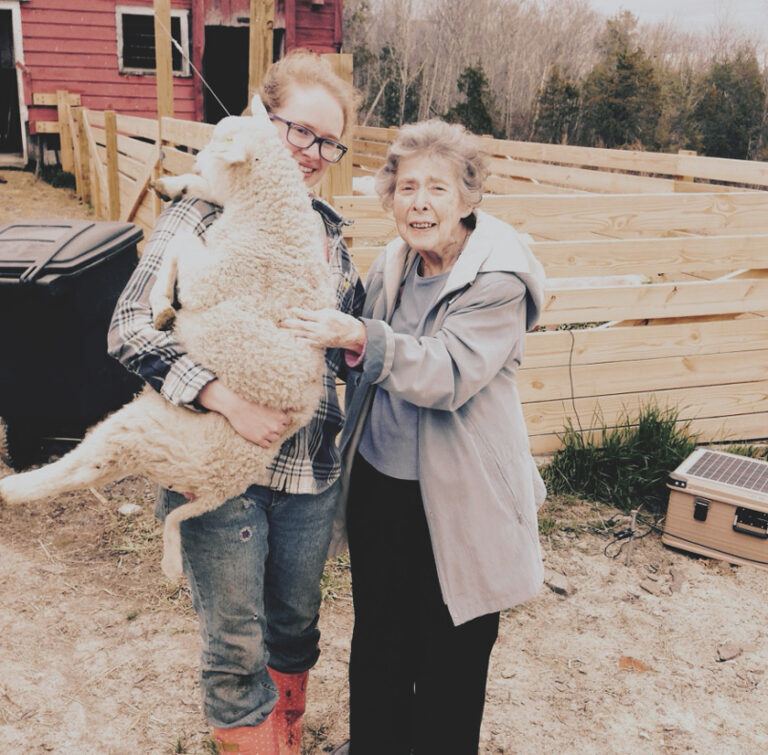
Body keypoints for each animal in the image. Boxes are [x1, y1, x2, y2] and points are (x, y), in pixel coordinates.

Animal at [0, 94, 336, 580]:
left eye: (213, 153)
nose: (189, 163)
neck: (270, 218)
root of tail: (220, 486)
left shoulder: (212, 277)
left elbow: (178, 246)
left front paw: (161, 307)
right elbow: (189, 223)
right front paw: (170, 188)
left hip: (144, 432)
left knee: (83, 467)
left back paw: (13, 488)